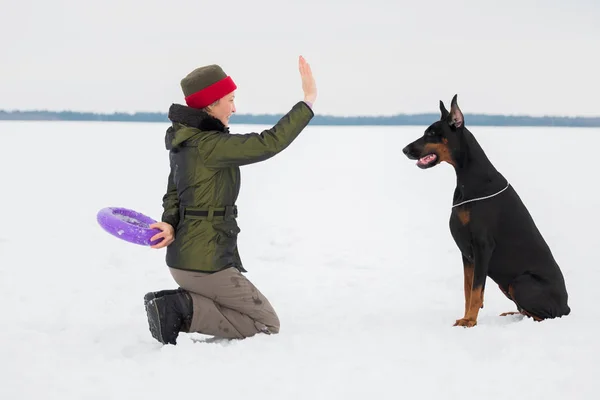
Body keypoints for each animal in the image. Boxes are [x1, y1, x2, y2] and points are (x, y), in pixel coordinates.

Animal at [406, 95, 568, 326]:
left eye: (431, 133)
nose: (404, 150)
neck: (468, 179)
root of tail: (567, 305)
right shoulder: (467, 254)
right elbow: (468, 290)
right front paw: (466, 317)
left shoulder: (483, 246)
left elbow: (476, 291)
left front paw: (469, 322)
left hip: (521, 281)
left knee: (546, 316)